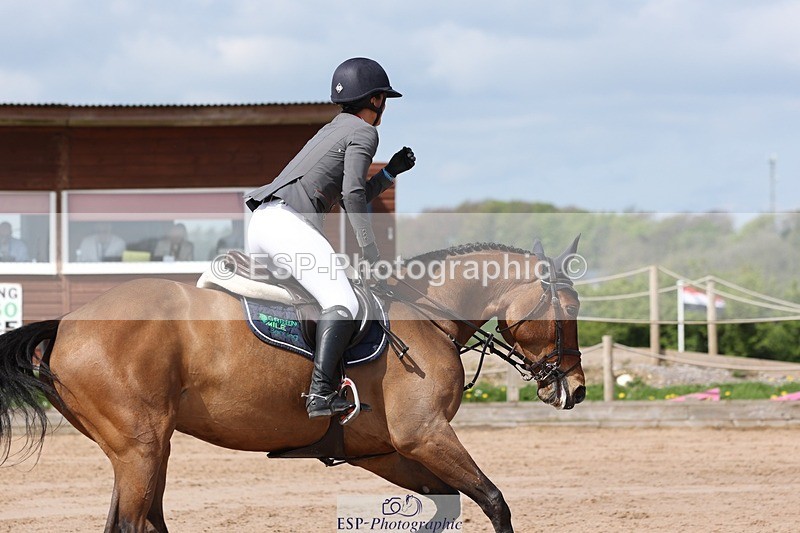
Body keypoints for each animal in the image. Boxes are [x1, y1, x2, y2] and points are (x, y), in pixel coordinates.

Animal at [0, 238, 585, 533]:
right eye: (569, 308)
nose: (575, 389)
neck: (427, 316)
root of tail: (66, 324)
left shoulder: (385, 452)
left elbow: (447, 507)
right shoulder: (425, 435)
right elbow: (494, 501)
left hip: (144, 450)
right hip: (140, 449)